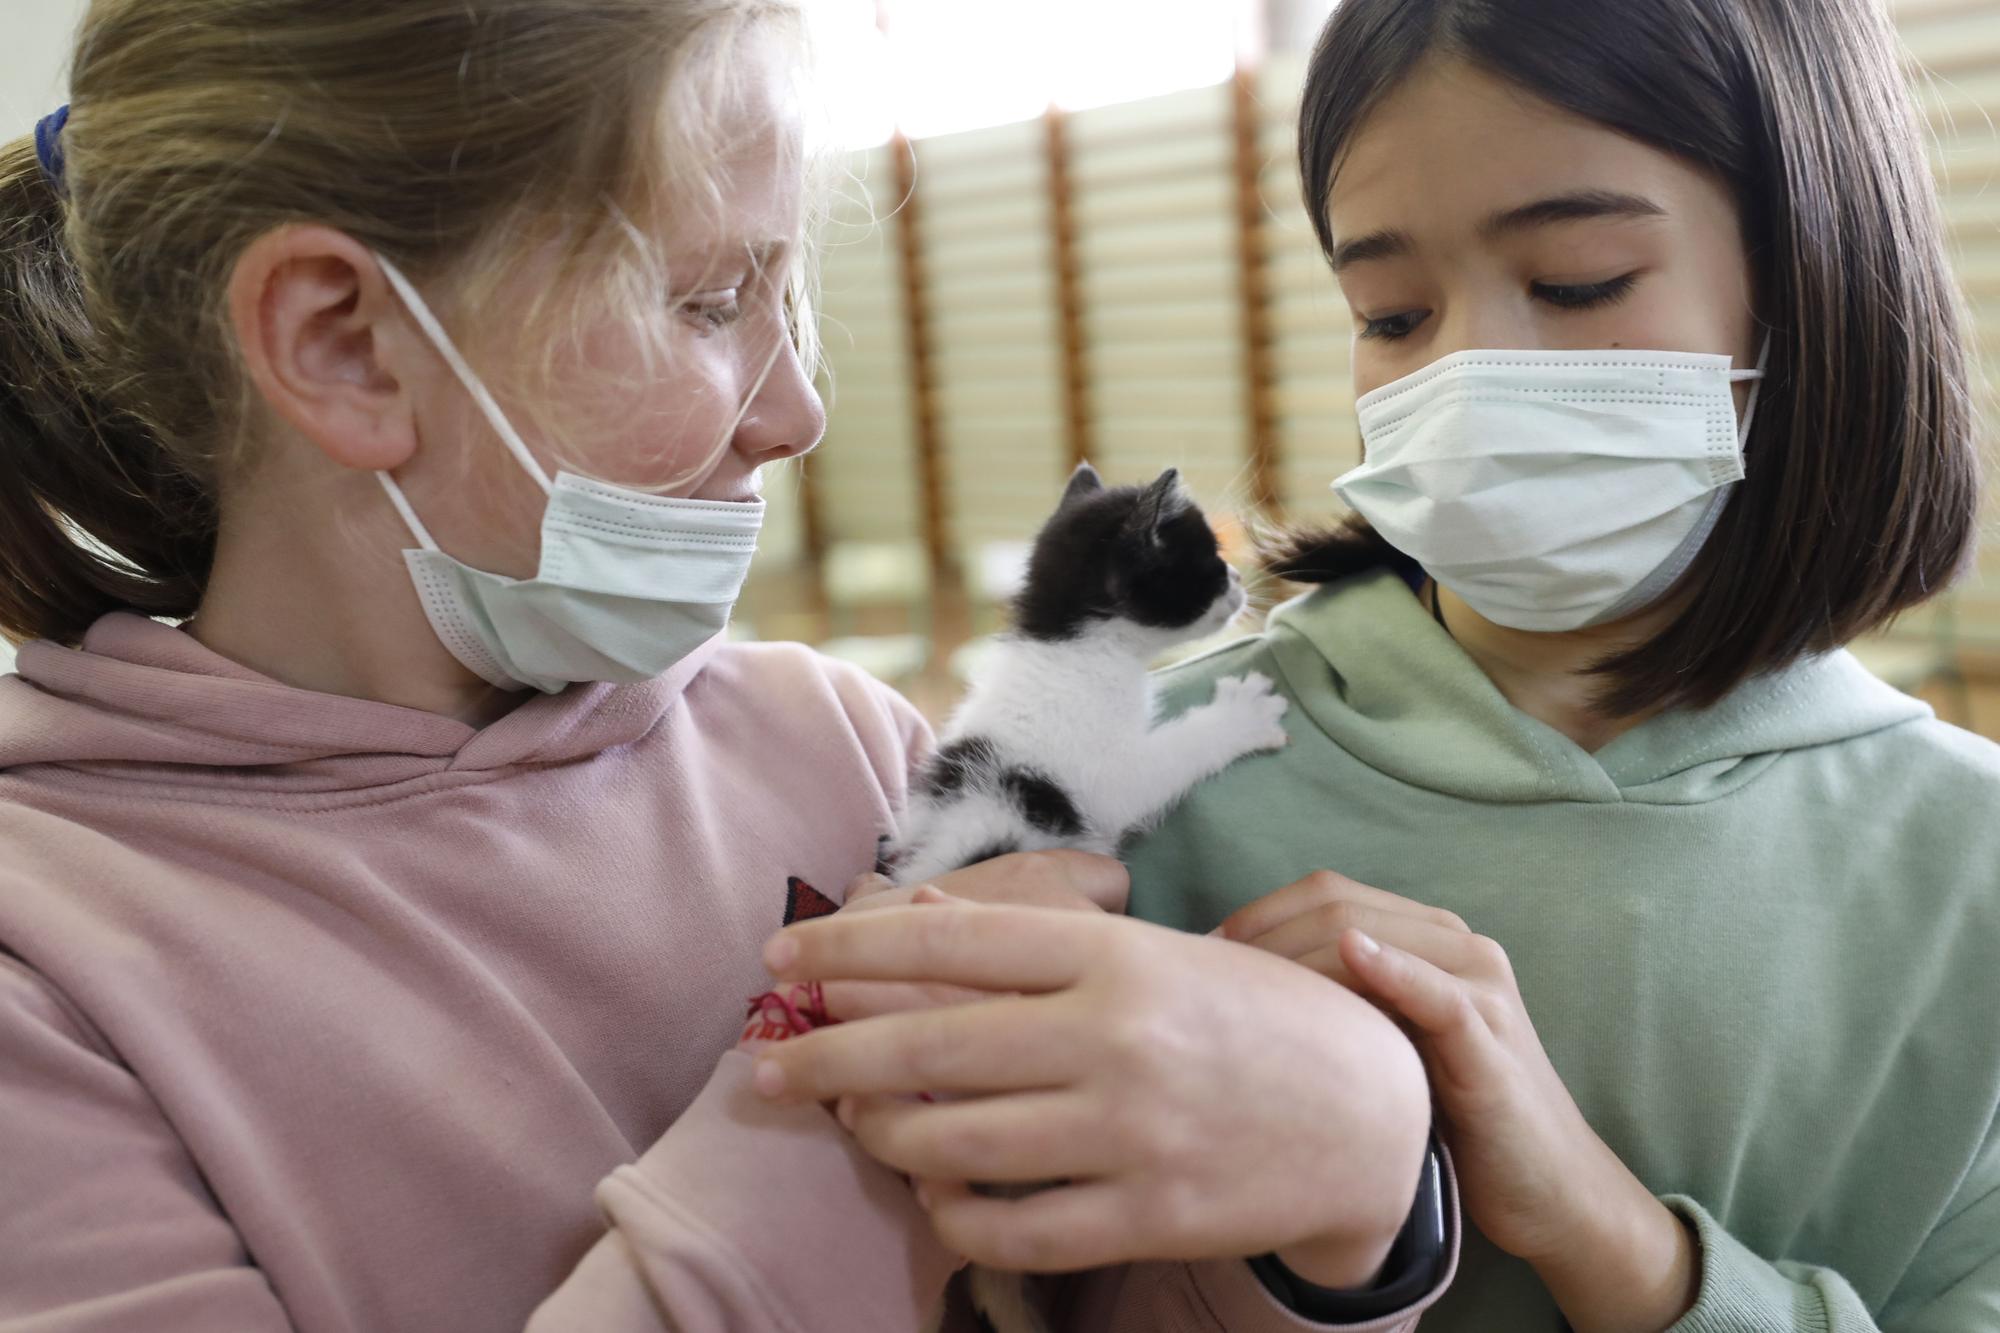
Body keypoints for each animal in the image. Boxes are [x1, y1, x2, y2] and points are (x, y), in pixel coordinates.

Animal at [888, 462, 1288, 1328]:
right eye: (1207, 561)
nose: (1241, 581)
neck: (1069, 645)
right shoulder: (1109, 770)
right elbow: (1170, 754)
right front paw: (1243, 713)